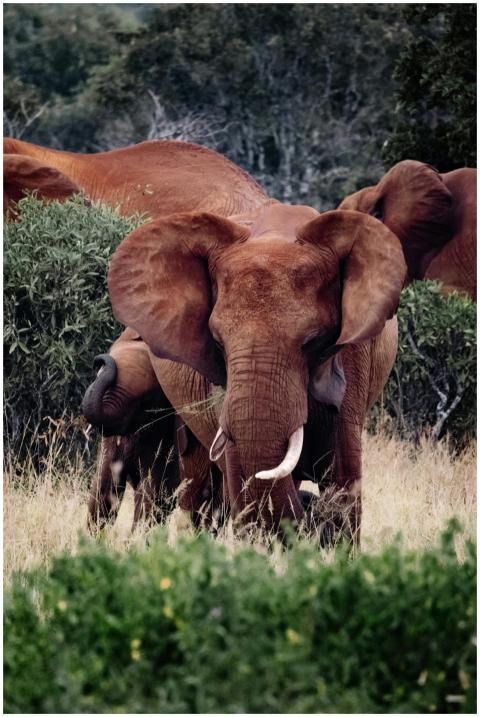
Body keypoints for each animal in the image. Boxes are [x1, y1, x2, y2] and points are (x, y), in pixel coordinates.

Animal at [107, 202, 407, 542]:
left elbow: (343, 477)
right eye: (218, 342)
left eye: (313, 341)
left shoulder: (353, 357)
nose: (310, 515)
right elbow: (242, 478)